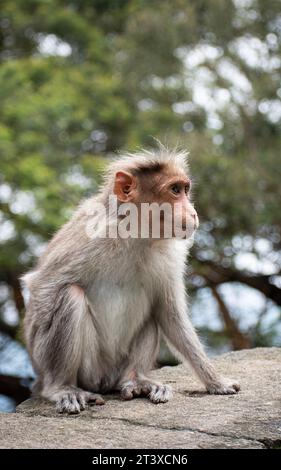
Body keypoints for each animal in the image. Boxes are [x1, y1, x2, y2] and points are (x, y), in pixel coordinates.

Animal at [21, 145, 238, 414]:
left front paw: (216, 381)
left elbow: (169, 313)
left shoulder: (170, 255)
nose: (194, 213)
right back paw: (59, 386)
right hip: (91, 369)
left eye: (186, 189)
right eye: (175, 190)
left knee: (153, 313)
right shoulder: (93, 234)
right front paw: (49, 383)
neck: (137, 234)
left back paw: (135, 381)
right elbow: (42, 283)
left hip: (117, 367)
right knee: (70, 294)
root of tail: (106, 380)